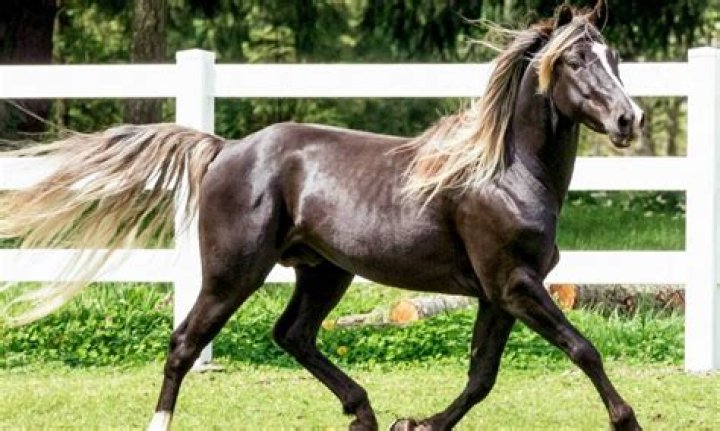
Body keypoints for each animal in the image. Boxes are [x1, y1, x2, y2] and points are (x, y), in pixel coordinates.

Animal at [0, 1, 645, 429]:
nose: (629, 120)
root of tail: (224, 148)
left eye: (613, 56)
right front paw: (627, 419)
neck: (505, 174)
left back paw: (363, 412)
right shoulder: (515, 285)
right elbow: (582, 349)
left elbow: (481, 377)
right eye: (575, 61)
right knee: (186, 341)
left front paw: (418, 423)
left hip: (323, 270)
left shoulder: (498, 293)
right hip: (235, 271)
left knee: (292, 334)